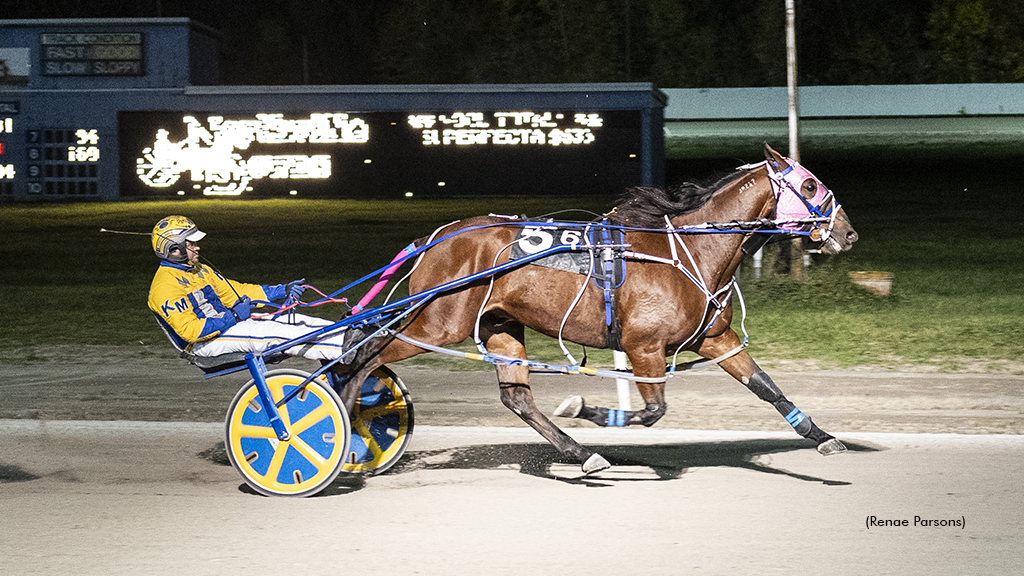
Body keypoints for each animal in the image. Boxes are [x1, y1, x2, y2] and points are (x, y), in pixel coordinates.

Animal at [335, 143, 856, 471]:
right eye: (810, 186)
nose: (848, 233)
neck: (690, 250)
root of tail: (438, 235)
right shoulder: (644, 347)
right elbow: (653, 411)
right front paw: (584, 406)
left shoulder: (715, 338)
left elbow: (767, 387)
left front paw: (824, 437)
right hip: (438, 323)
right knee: (364, 356)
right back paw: (348, 428)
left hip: (500, 325)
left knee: (516, 397)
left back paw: (581, 454)